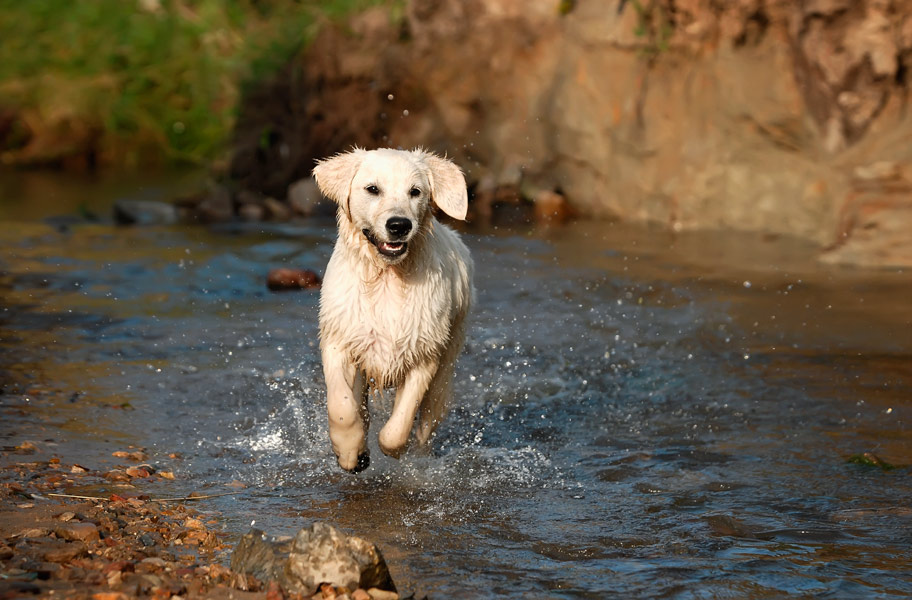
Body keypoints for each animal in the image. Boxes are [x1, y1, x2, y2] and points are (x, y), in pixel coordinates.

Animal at [314, 146, 474, 474]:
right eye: (373, 189)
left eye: (415, 191)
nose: (399, 225)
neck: (387, 276)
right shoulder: (339, 338)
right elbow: (342, 407)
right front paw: (351, 453)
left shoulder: (426, 351)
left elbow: (398, 427)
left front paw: (392, 450)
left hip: (447, 363)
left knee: (428, 419)